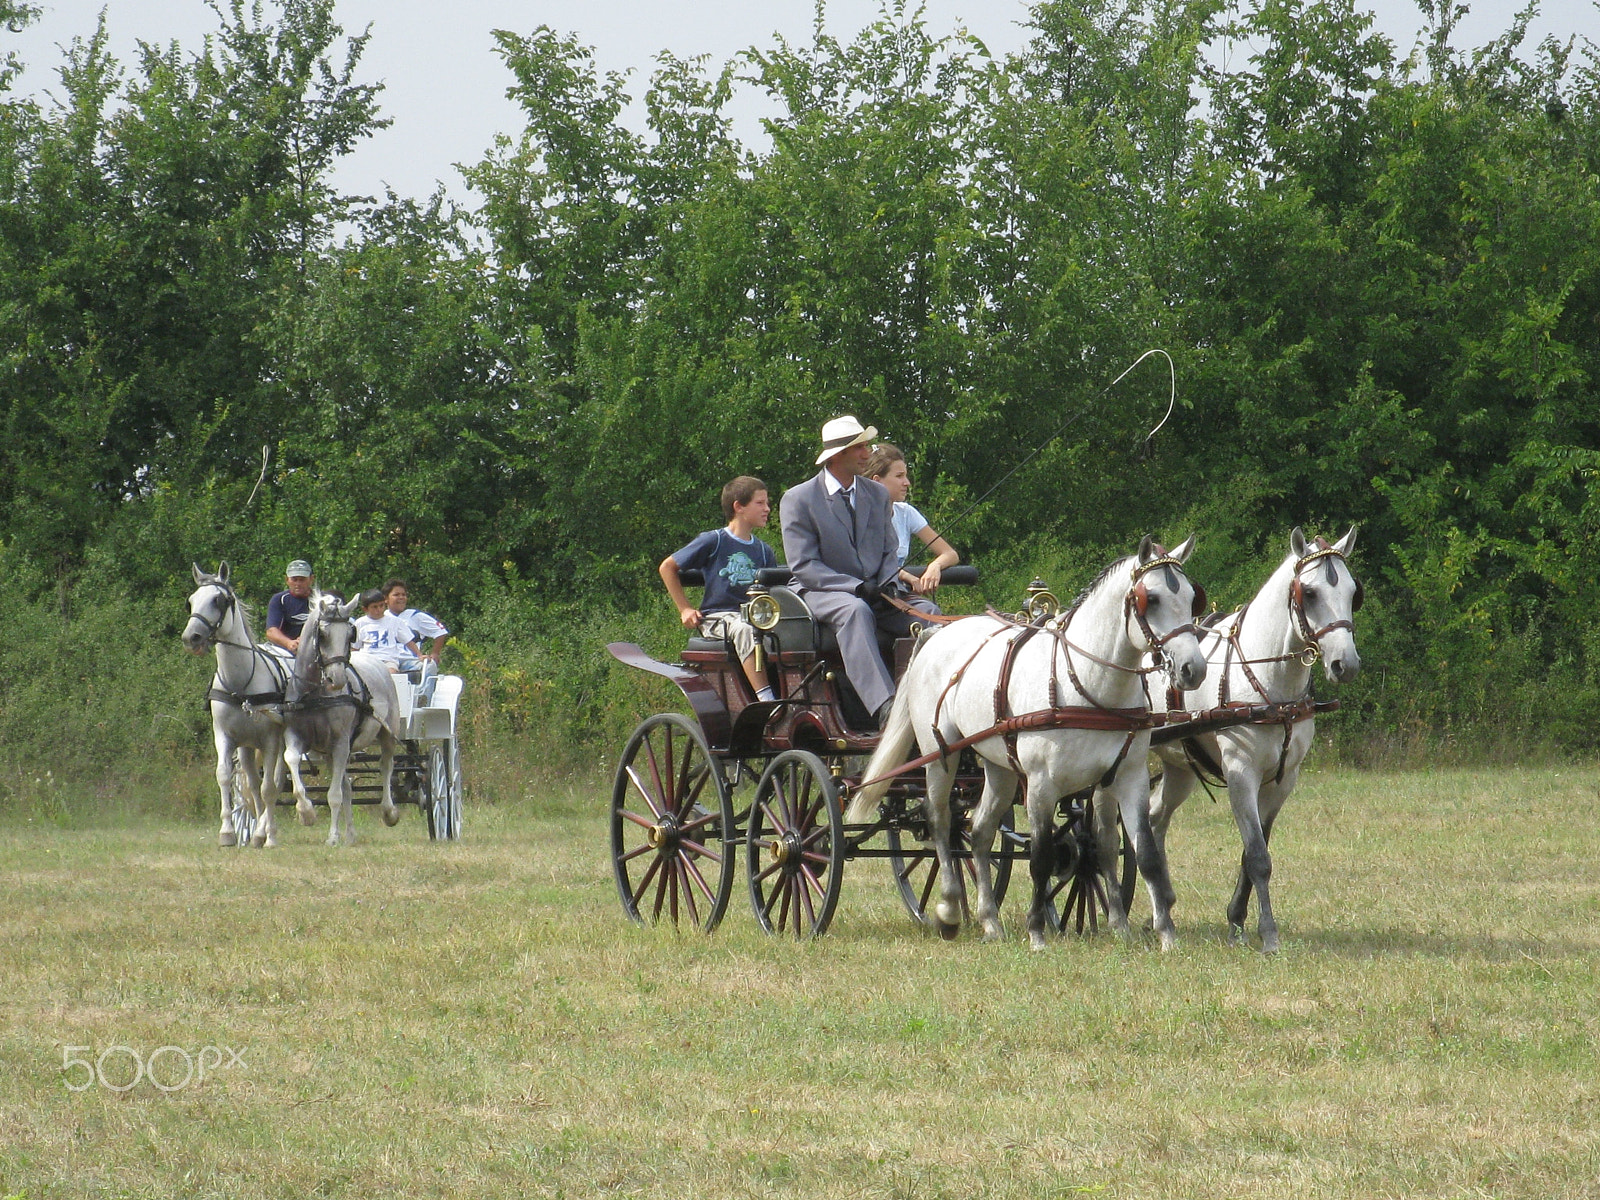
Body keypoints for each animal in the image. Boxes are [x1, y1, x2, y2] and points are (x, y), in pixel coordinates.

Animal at [182, 566, 291, 857]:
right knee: (251, 784)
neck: (241, 686)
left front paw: (267, 835)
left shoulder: (270, 740)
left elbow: (269, 787)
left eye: (219, 600)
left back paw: (268, 831)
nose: (191, 638)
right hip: (246, 746)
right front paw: (228, 833)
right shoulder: (224, 736)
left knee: (275, 781)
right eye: (191, 601)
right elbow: (225, 776)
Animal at [278, 592, 400, 844]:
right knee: (348, 786)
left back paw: (389, 812)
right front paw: (306, 813)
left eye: (349, 634)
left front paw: (333, 837)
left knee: (386, 766)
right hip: (330, 753)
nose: (338, 679)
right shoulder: (296, 736)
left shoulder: (341, 743)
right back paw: (351, 835)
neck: (315, 694)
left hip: (387, 734)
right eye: (322, 635)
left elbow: (334, 795)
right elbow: (291, 760)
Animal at [851, 540, 1203, 953]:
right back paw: (950, 910)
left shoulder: (1128, 777)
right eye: (1153, 598)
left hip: (999, 767)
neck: (1089, 685)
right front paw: (1036, 931)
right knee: (940, 821)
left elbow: (1142, 853)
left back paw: (989, 920)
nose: (1193, 669)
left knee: (980, 832)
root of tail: (933, 635)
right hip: (941, 755)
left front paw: (1164, 933)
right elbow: (1041, 857)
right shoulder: (1041, 784)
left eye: (1193, 597)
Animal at [1152, 524, 1363, 947]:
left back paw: (1161, 902)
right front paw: (1268, 934)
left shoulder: (1282, 780)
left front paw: (1236, 921)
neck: (1269, 682)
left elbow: (1254, 850)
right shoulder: (1240, 773)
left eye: (1353, 593)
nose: (1344, 664)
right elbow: (1258, 856)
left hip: (1178, 768)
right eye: (1309, 593)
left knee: (1153, 819)